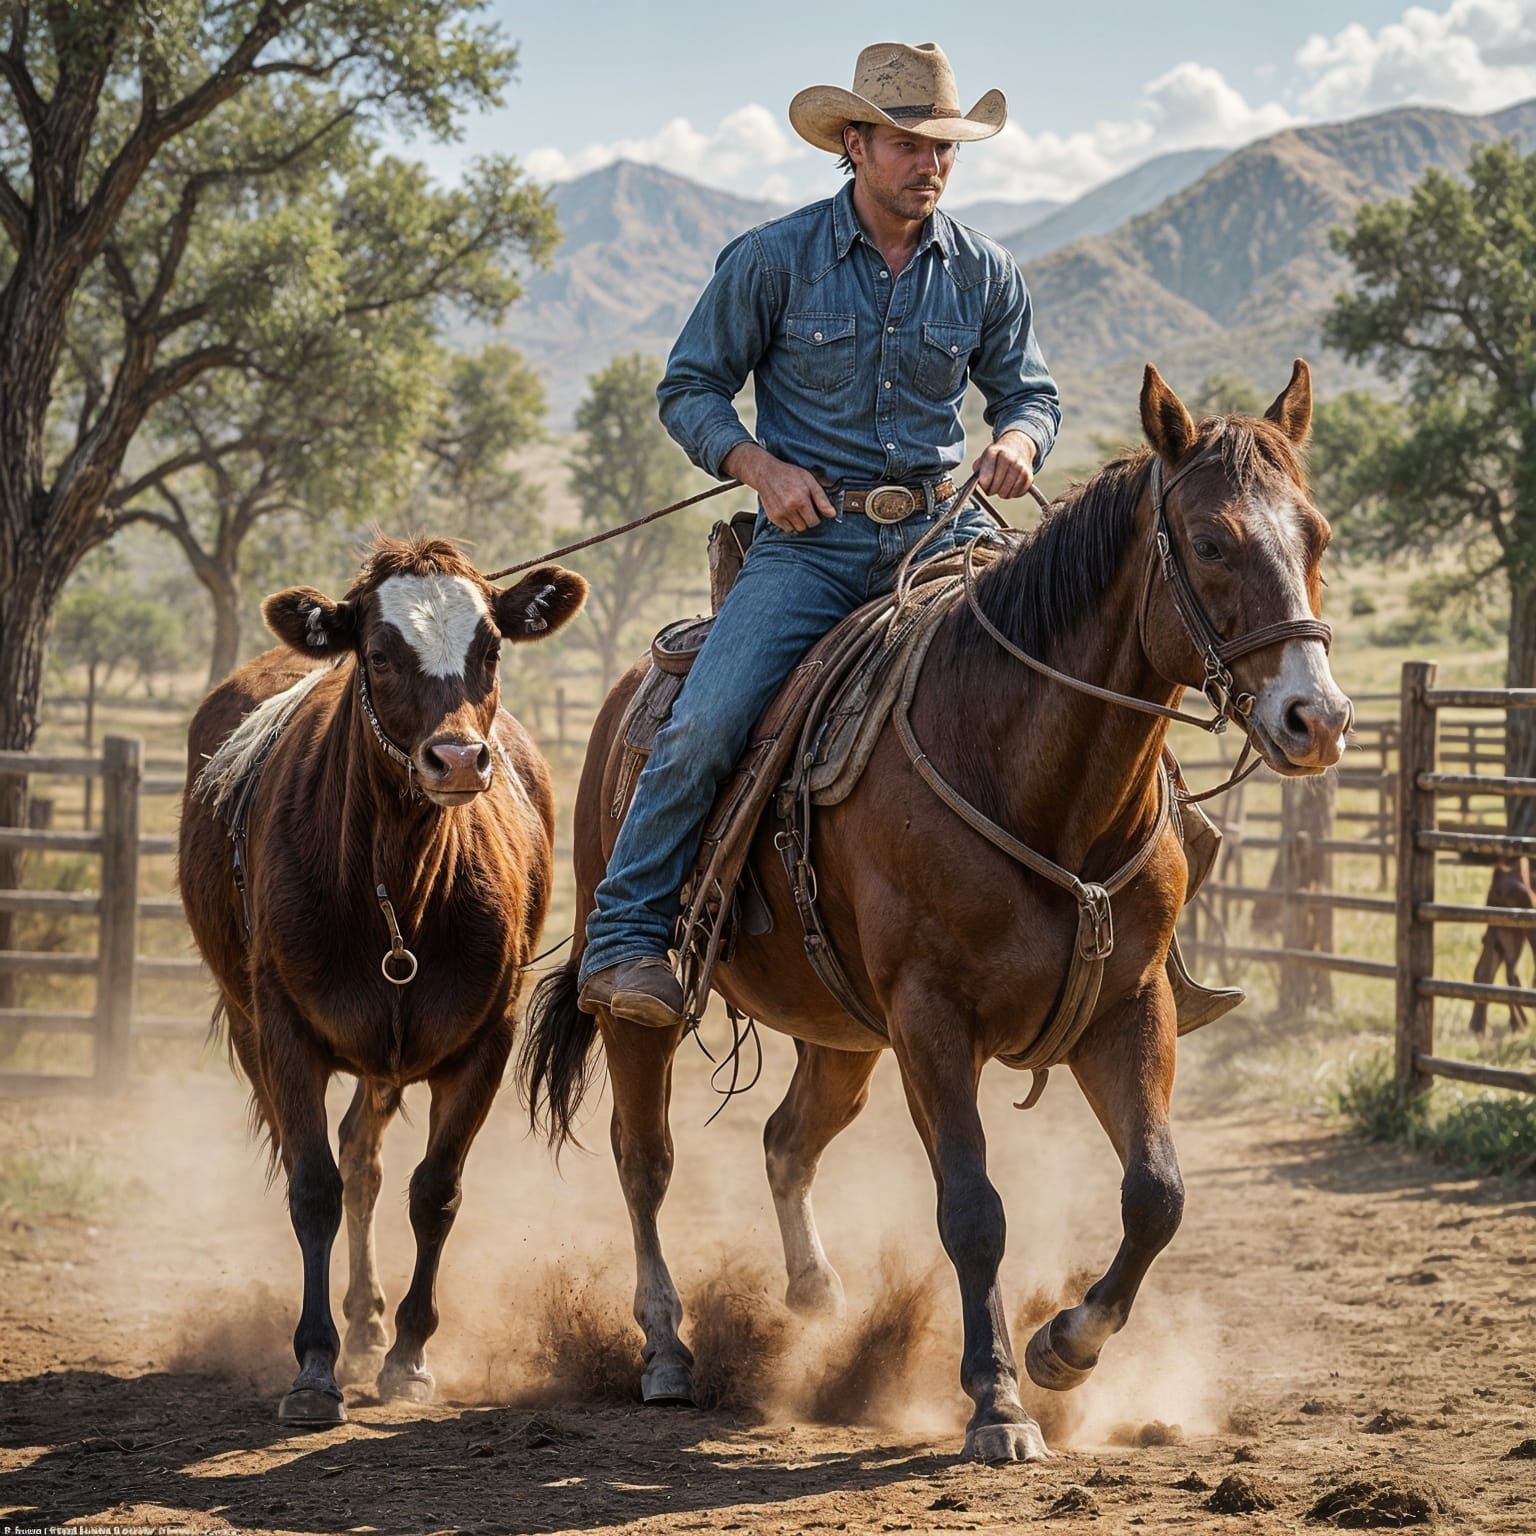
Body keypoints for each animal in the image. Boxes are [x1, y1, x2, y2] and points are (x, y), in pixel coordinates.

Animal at [178, 535, 586, 1424]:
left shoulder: (485, 1040)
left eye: (491, 648)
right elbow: (313, 1189)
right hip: (257, 1024)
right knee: (341, 1167)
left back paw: (370, 1325)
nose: (458, 758)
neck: (394, 885)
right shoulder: (284, 1029)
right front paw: (313, 1364)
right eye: (378, 653)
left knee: (365, 1159)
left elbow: (434, 1191)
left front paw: (408, 1354)